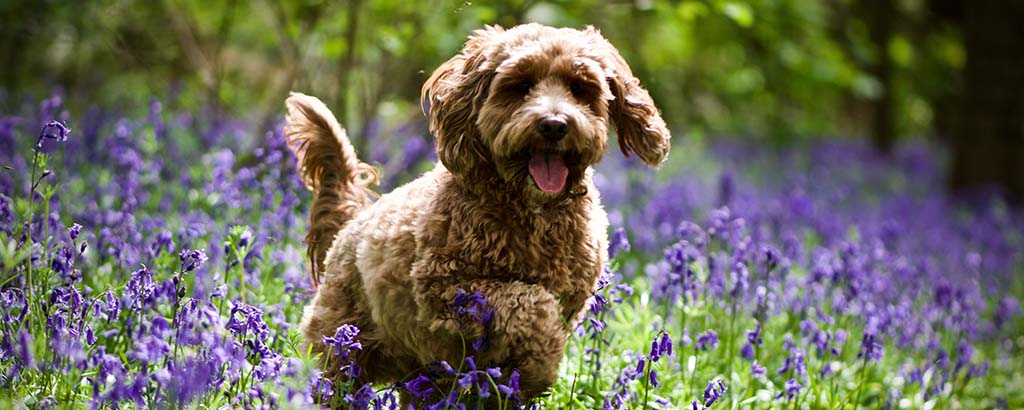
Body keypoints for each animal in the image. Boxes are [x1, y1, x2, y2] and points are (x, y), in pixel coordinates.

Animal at [286, 23, 671, 403]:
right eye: (520, 86)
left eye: (580, 88)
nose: (554, 124)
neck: (532, 210)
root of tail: (349, 226)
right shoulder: (447, 290)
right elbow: (531, 304)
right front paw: (537, 369)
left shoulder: (571, 299)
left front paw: (523, 377)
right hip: (340, 350)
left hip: (422, 378)